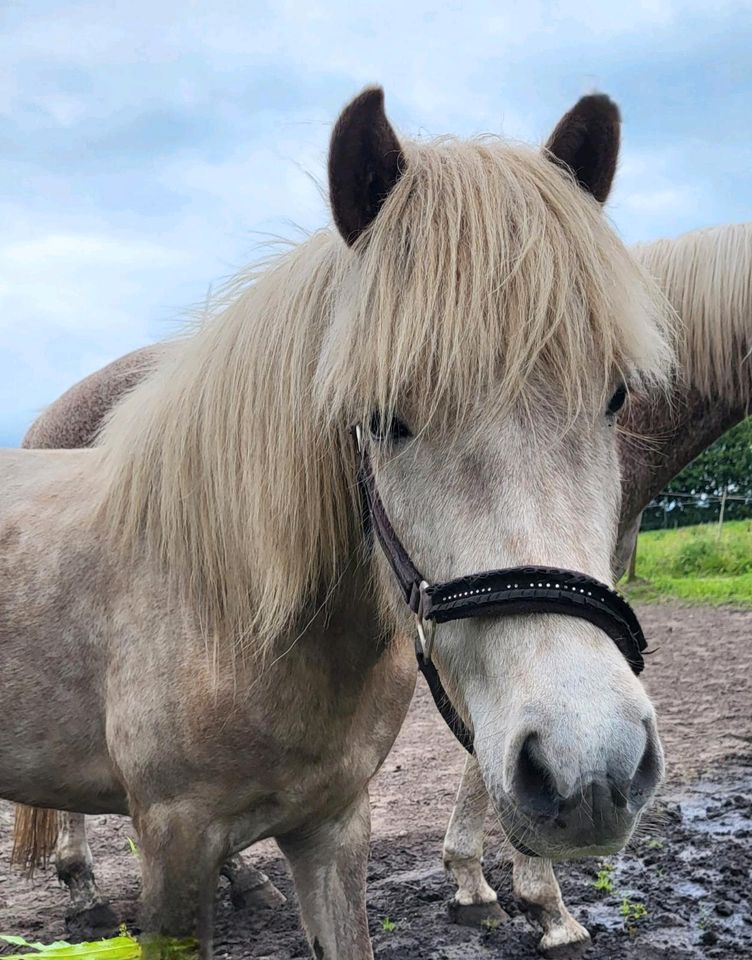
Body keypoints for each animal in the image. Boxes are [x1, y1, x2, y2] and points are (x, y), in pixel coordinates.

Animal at [0, 86, 668, 956]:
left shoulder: (334, 828)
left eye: (615, 396)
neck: (228, 614)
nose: (589, 772)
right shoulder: (174, 842)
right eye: (383, 418)